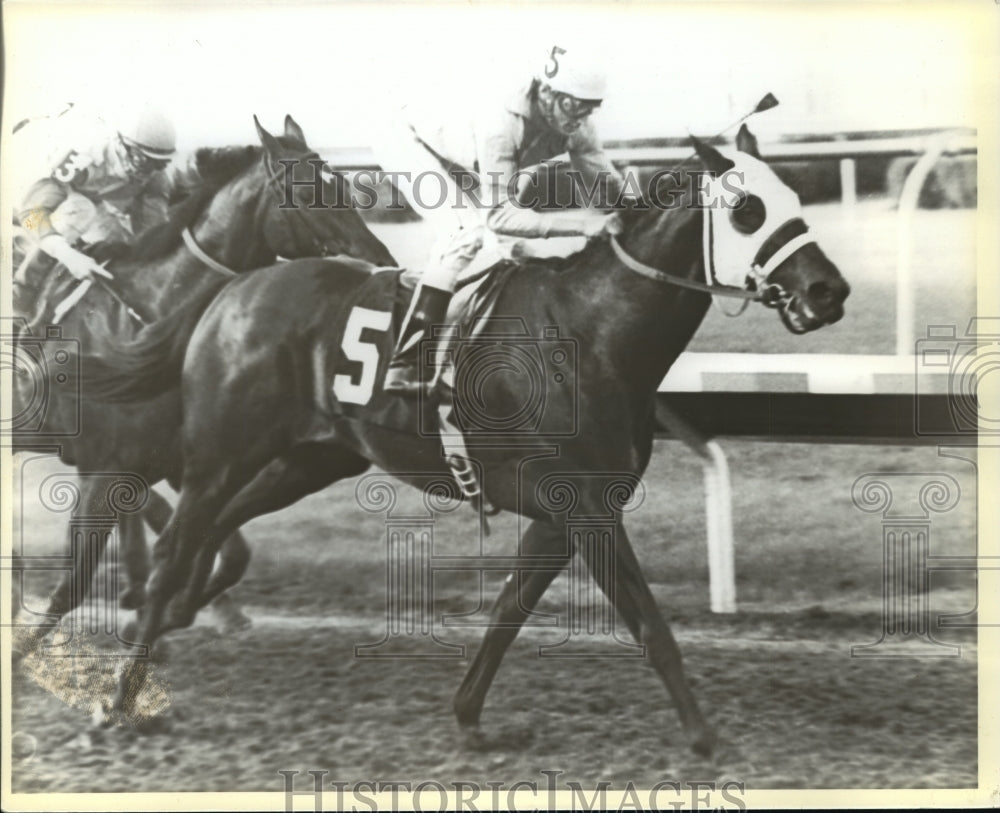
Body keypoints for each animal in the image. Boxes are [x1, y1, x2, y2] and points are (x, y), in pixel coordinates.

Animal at [11, 116, 396, 652]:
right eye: (308, 192)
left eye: (342, 185)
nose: (380, 261)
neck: (147, 313)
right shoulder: (107, 469)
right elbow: (74, 584)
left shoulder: (184, 461)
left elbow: (229, 552)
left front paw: (178, 613)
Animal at [84, 127, 844, 756]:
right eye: (748, 210)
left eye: (793, 197)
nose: (827, 291)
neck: (592, 330)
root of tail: (232, 289)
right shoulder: (589, 510)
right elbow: (649, 625)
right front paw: (705, 736)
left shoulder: (564, 513)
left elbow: (509, 611)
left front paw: (469, 717)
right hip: (222, 449)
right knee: (180, 540)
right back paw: (123, 694)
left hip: (310, 456)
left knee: (221, 524)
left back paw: (176, 614)